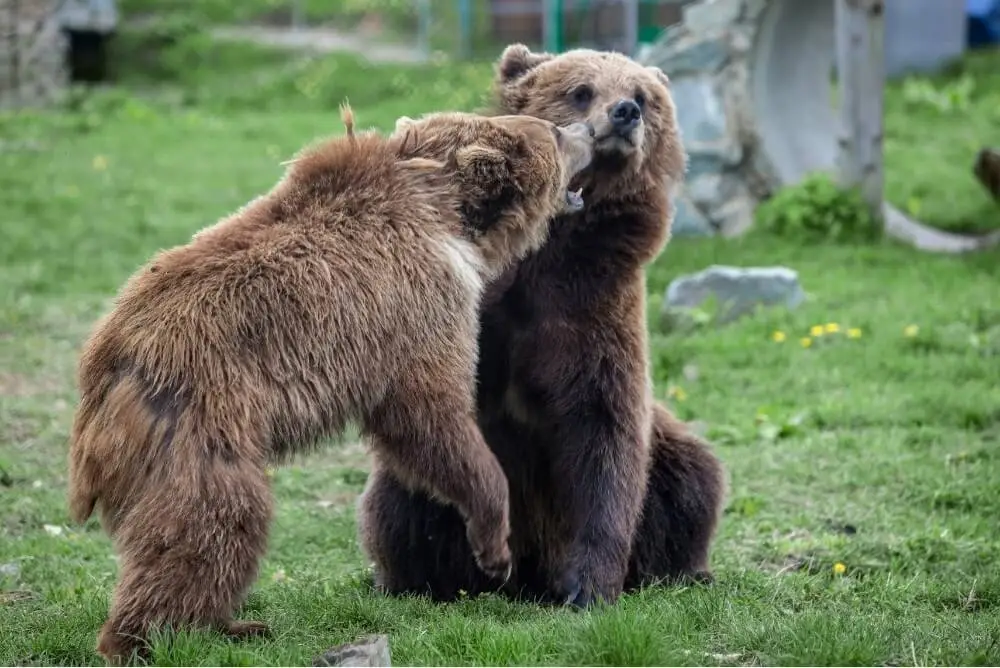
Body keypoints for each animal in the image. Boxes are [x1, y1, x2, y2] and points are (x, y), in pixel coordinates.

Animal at [66, 105, 594, 664]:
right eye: (553, 132)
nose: (589, 130)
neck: (448, 217)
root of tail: (103, 364)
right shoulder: (421, 306)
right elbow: (430, 415)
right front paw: (495, 547)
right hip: (195, 422)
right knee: (214, 522)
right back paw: (157, 637)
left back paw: (230, 623)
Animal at [357, 45, 728, 607]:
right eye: (581, 90)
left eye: (644, 95)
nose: (625, 113)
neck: (547, 254)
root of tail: (529, 577)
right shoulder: (490, 317)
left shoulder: (592, 309)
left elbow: (604, 431)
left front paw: (588, 586)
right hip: (414, 494)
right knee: (401, 509)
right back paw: (416, 581)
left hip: (666, 453)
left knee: (691, 480)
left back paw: (684, 569)